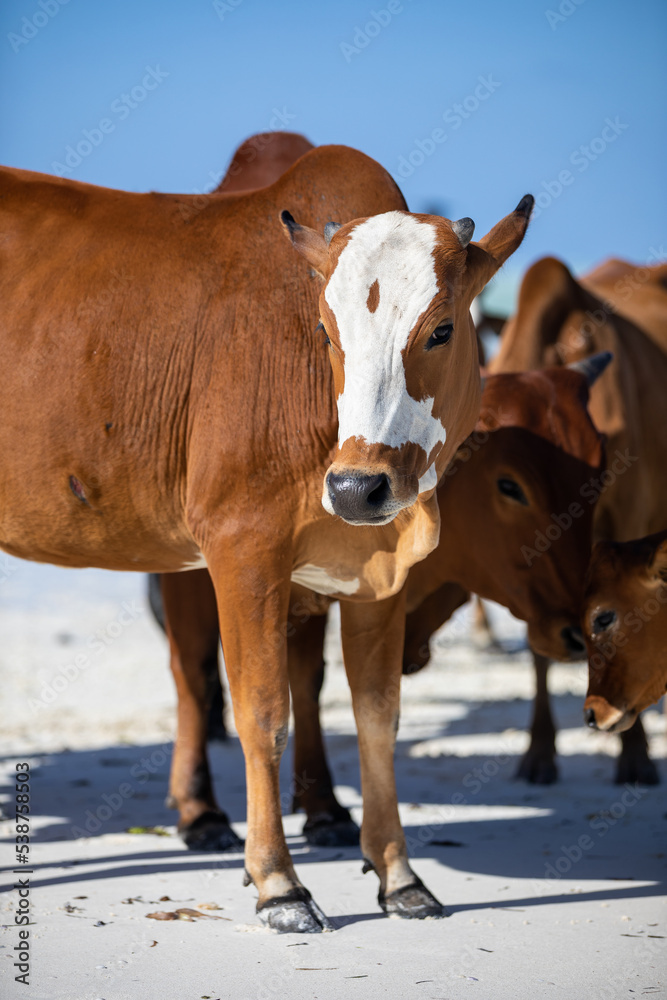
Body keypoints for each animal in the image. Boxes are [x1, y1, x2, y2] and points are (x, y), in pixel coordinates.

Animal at [0, 145, 532, 932]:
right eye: (326, 333)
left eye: (441, 330)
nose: (356, 487)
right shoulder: (241, 549)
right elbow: (261, 712)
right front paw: (279, 881)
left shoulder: (380, 571)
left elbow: (377, 716)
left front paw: (398, 874)